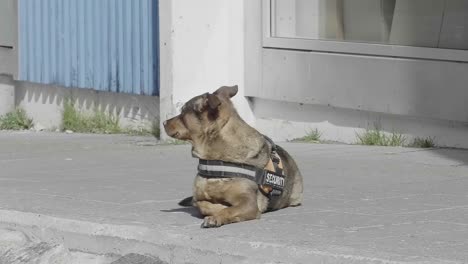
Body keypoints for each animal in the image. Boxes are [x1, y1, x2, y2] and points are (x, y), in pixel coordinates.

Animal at [164, 85, 304, 228]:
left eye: (182, 112)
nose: (163, 122)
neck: (216, 161)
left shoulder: (248, 203)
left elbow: (230, 209)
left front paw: (217, 216)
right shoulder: (199, 198)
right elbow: (203, 205)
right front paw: (217, 207)